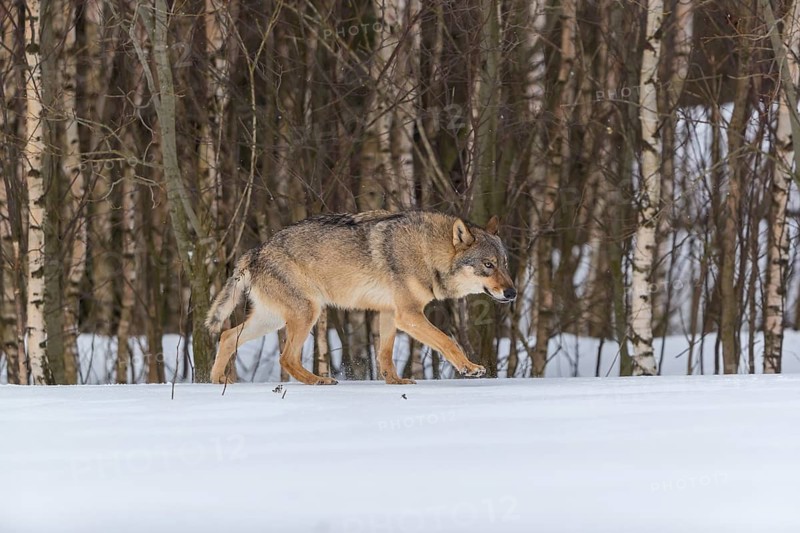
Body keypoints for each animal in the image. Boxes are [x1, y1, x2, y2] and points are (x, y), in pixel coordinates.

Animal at [205, 210, 516, 385]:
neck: (428, 253)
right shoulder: (409, 315)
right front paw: (470, 368)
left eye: (504, 264)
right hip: (307, 314)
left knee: (227, 336)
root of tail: (256, 250)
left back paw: (218, 380)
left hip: (274, 320)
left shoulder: (391, 314)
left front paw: (395, 382)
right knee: (286, 359)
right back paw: (319, 381)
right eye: (488, 265)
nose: (512, 293)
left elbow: (385, 354)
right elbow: (448, 342)